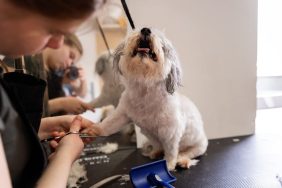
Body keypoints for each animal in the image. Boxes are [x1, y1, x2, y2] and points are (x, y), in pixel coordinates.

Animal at [91, 27, 208, 170]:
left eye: (162, 42)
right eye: (138, 30)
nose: (146, 30)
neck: (144, 91)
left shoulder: (171, 133)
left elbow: (170, 152)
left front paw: (168, 165)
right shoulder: (126, 115)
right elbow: (110, 123)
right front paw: (93, 129)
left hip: (199, 146)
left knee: (187, 153)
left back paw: (183, 160)